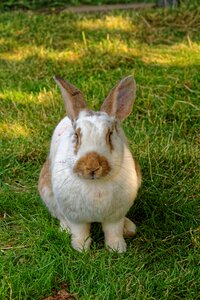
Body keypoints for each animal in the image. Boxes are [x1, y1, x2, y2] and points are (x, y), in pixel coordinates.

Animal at [38, 75, 141, 253]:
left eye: (109, 135)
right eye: (77, 136)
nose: (92, 166)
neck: (95, 184)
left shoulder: (114, 217)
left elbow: (113, 232)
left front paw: (117, 249)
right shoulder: (76, 218)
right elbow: (80, 231)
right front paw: (81, 248)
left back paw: (129, 228)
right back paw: (65, 229)